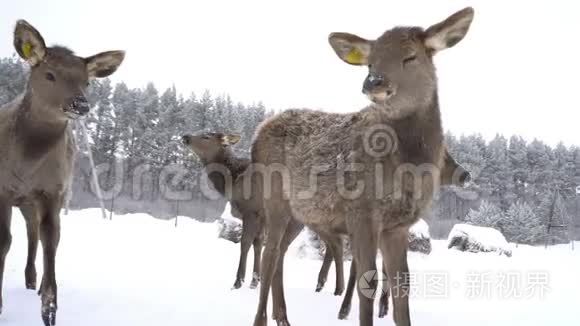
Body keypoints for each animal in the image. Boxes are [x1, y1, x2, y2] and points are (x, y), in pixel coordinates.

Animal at [0, 20, 124, 326]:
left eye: (87, 81)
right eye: (49, 74)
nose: (81, 104)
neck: (25, 164)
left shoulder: (52, 191)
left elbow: (51, 240)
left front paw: (50, 307)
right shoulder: (2, 188)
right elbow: (4, 240)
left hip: (41, 198)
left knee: (37, 233)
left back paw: (34, 281)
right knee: (30, 232)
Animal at [250, 7, 476, 326]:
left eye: (411, 56)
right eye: (370, 62)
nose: (373, 82)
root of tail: (257, 134)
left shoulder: (398, 225)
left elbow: (401, 284)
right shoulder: (361, 212)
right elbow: (367, 281)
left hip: (299, 212)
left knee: (280, 252)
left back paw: (282, 316)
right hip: (274, 198)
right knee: (269, 253)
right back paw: (263, 318)